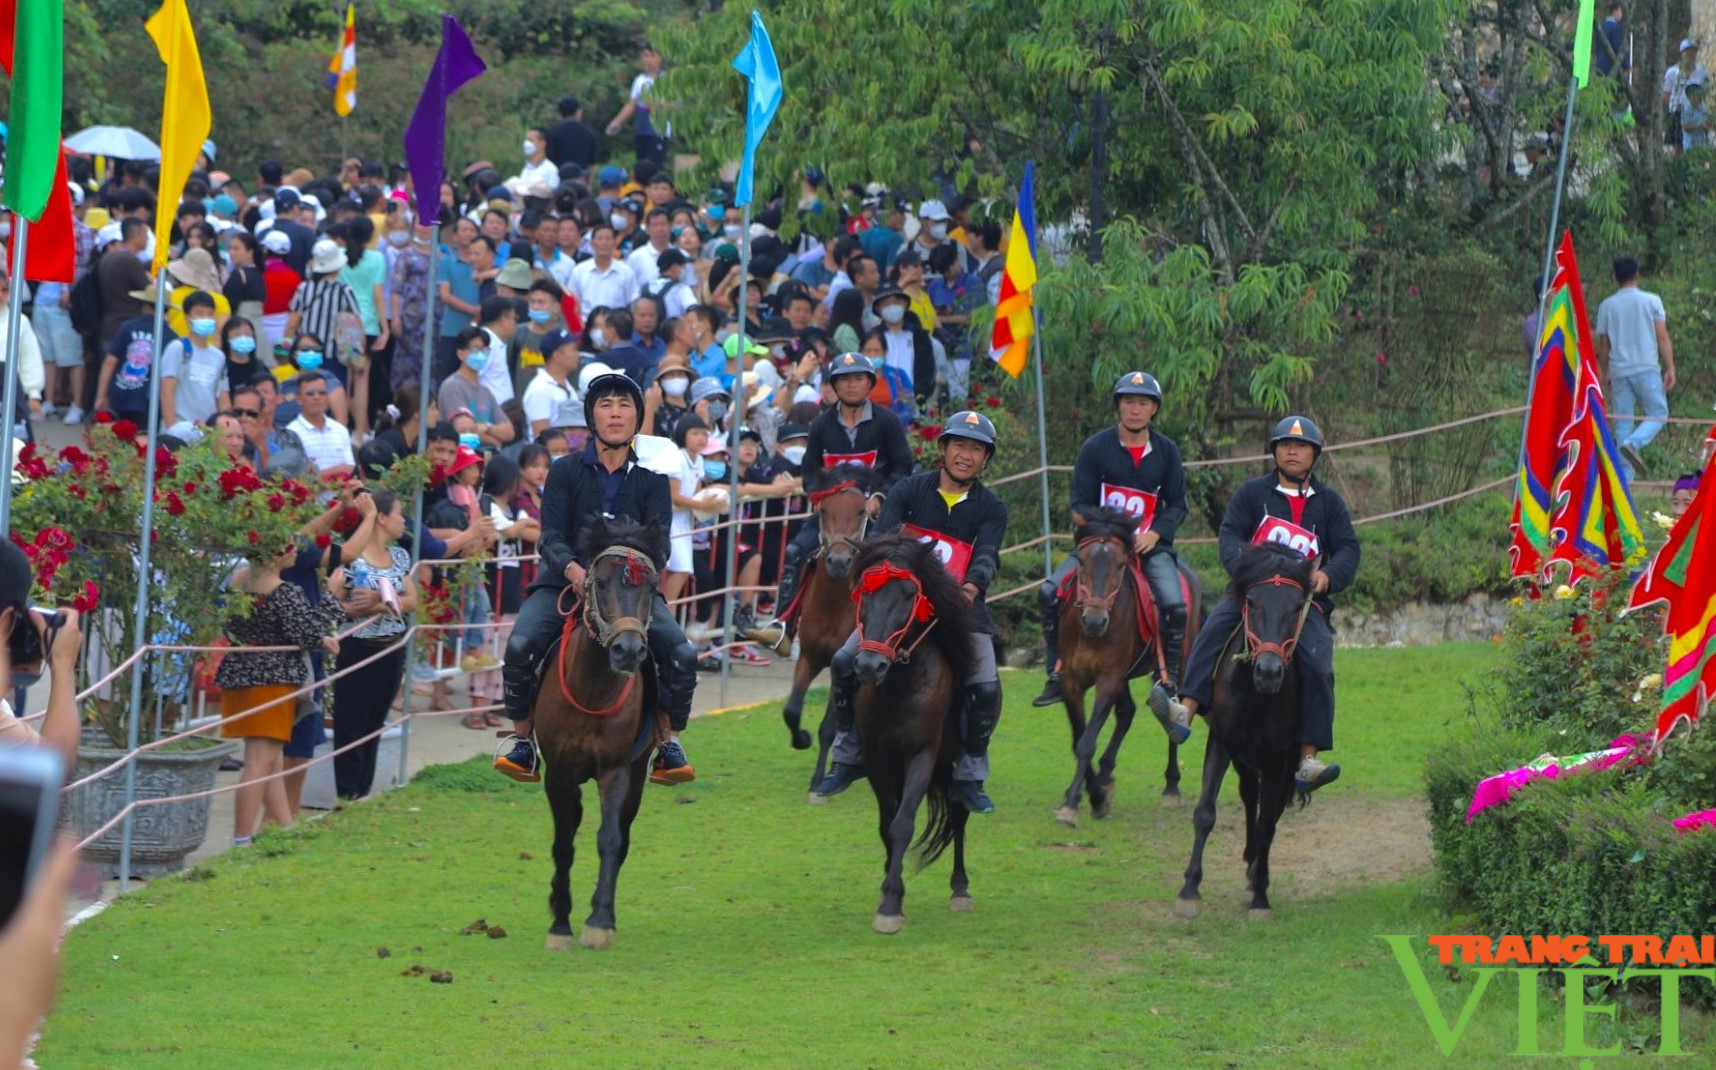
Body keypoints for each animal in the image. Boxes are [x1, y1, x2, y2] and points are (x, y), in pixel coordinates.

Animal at [535, 517, 669, 953]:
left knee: (622, 837)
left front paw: (599, 922)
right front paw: (559, 925)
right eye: (601, 583)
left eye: (650, 586)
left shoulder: (616, 770)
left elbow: (609, 839)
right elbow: (563, 844)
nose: (628, 650)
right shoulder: (558, 774)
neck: (592, 689)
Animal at [782, 462, 878, 799]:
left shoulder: (843, 666)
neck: (834, 604)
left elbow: (830, 727)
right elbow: (792, 710)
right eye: (824, 509)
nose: (838, 561)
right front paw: (801, 739)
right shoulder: (808, 657)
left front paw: (818, 780)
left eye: (861, 510)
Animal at [847, 535, 981, 932]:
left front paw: (892, 903)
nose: (870, 666)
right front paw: (887, 890)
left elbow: (903, 824)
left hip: (953, 762)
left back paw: (960, 889)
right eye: (865, 591)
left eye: (910, 594)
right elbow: (886, 825)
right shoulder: (877, 761)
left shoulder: (922, 756)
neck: (899, 684)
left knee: (958, 813)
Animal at [1043, 507, 1208, 826]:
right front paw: (1088, 793)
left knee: (1173, 716)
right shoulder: (1072, 682)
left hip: (1176, 658)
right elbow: (1079, 739)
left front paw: (1082, 801)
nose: (1095, 621)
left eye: (1121, 565)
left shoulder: (1108, 678)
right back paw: (1105, 775)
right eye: (1081, 561)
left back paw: (1171, 786)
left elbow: (1087, 741)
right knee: (1127, 713)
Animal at [1173, 541, 1317, 919]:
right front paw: (1189, 890)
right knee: (1249, 794)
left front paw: (1260, 897)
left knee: (1269, 809)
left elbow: (1268, 822)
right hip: (1242, 757)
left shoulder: (1278, 758)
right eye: (1252, 601)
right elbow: (1205, 812)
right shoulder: (1222, 743)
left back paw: (1255, 874)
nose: (1268, 671)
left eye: (1296, 607)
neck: (1255, 694)